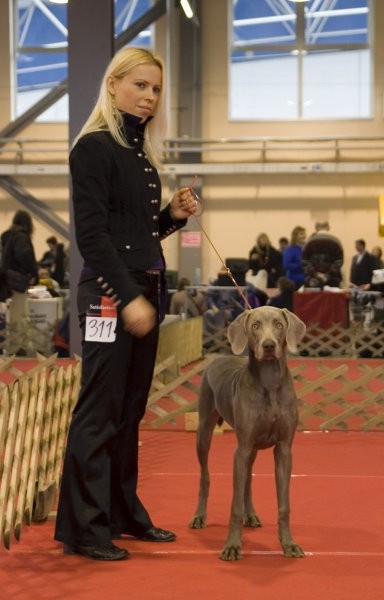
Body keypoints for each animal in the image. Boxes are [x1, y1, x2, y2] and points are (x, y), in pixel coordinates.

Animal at [189, 308, 306, 560]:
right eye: (255, 326)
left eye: (279, 324)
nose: (269, 345)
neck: (270, 382)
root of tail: (219, 356)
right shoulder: (241, 449)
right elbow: (234, 505)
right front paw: (232, 546)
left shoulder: (284, 449)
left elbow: (284, 504)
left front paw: (289, 544)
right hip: (204, 432)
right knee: (205, 476)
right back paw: (199, 516)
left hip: (253, 448)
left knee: (248, 480)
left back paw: (250, 514)